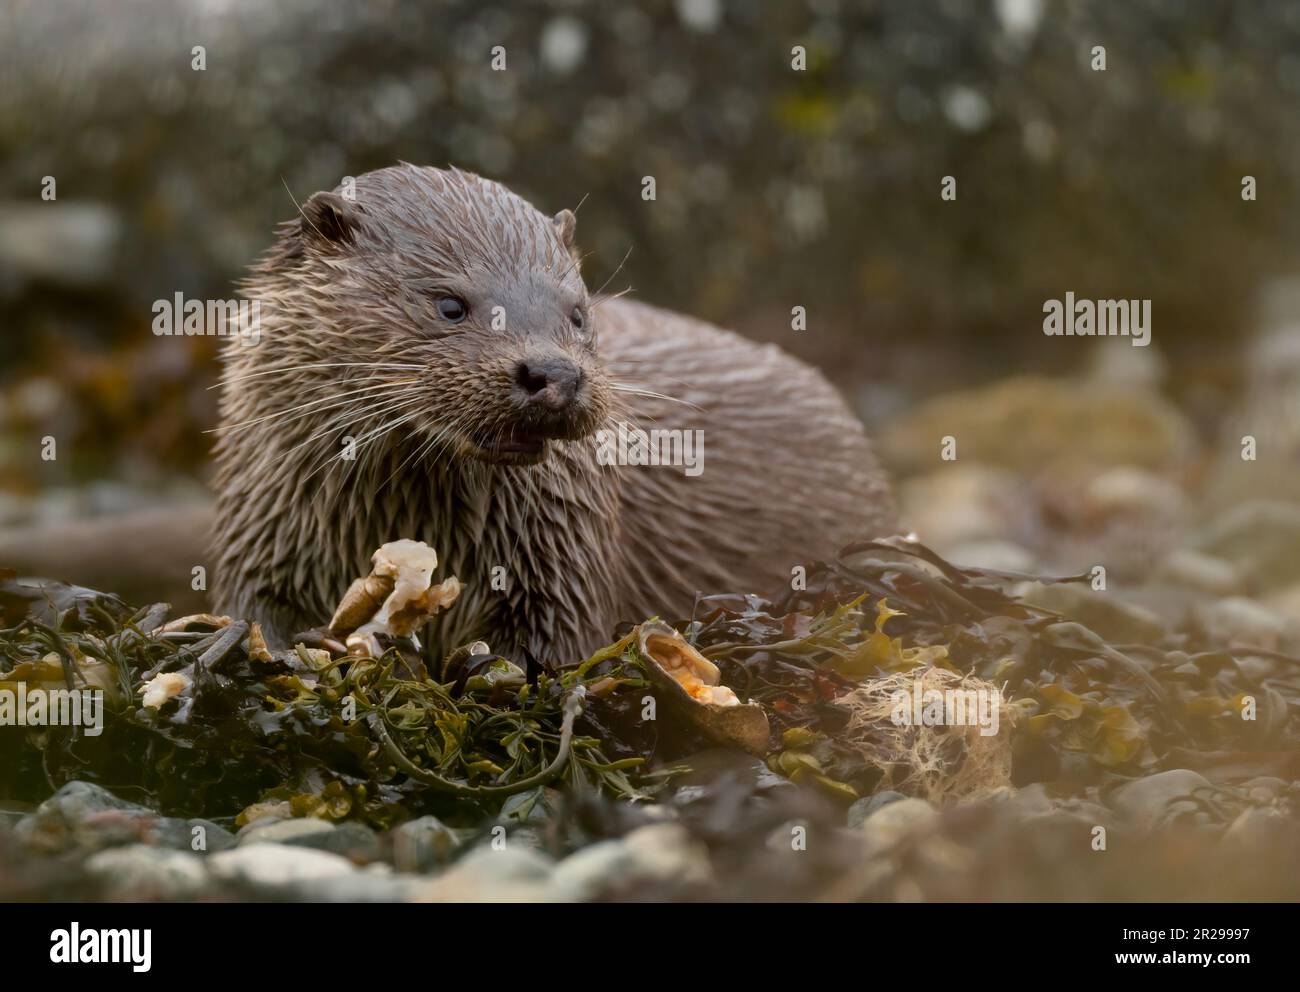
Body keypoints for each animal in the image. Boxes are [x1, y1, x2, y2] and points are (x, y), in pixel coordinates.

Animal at [213, 166, 899, 665]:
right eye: (449, 304)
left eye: (577, 311)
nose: (555, 375)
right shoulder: (260, 536)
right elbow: (250, 612)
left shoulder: (563, 563)